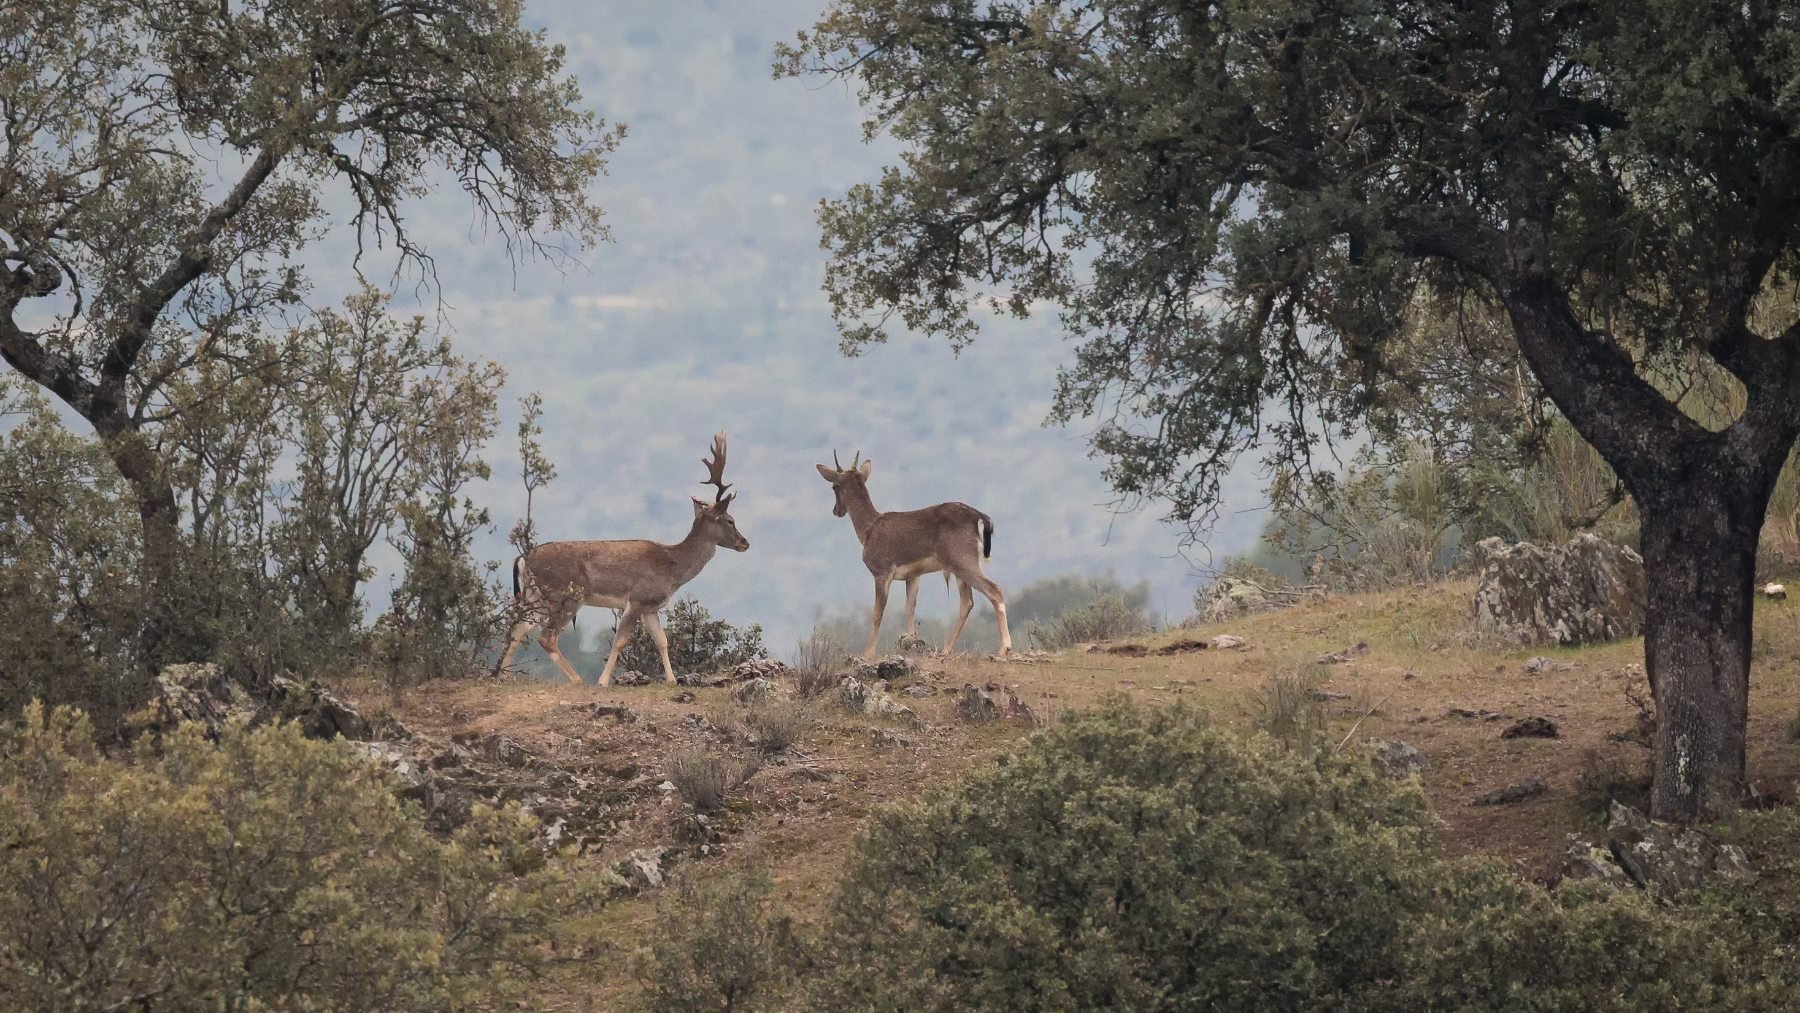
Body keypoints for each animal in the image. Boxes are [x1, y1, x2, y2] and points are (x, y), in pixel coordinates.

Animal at [496, 431, 748, 687]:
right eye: (730, 520)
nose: (744, 543)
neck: (672, 567)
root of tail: (523, 559)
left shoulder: (650, 606)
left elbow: (662, 641)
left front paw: (671, 680)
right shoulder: (636, 598)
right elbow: (620, 641)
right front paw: (603, 681)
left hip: (536, 596)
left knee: (518, 628)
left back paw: (503, 676)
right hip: (565, 595)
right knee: (546, 637)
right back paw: (577, 680)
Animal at [817, 449, 1015, 658]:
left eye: (834, 486)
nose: (837, 510)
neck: (868, 529)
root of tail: (979, 516)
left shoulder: (882, 571)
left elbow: (877, 612)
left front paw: (867, 654)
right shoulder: (913, 576)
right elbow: (909, 610)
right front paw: (911, 645)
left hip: (962, 561)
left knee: (994, 590)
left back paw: (1004, 647)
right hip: (960, 565)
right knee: (967, 602)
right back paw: (946, 649)